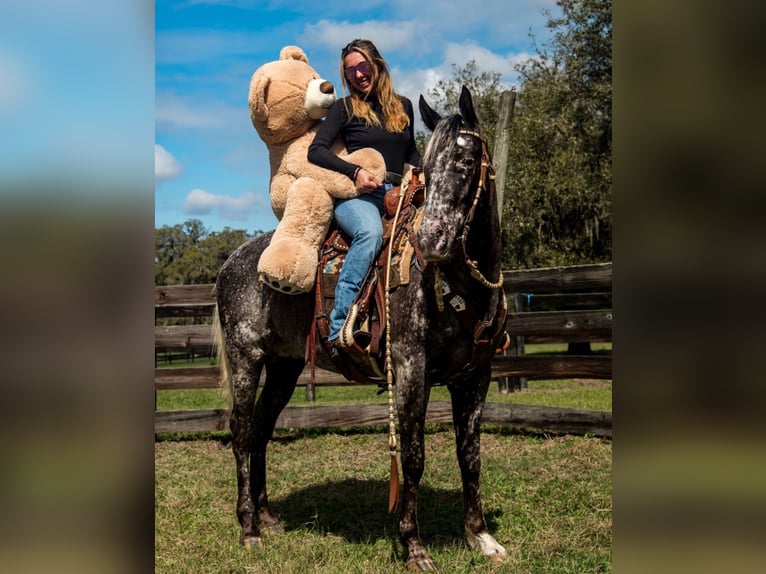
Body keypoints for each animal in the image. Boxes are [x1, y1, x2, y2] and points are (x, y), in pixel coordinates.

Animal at [213, 84, 510, 572]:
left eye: (466, 161)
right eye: (428, 170)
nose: (430, 242)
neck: (458, 285)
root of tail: (230, 264)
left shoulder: (475, 377)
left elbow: (471, 456)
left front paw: (481, 537)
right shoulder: (410, 370)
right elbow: (413, 456)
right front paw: (414, 546)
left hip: (284, 368)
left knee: (260, 429)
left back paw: (268, 519)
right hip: (246, 358)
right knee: (240, 430)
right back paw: (248, 529)